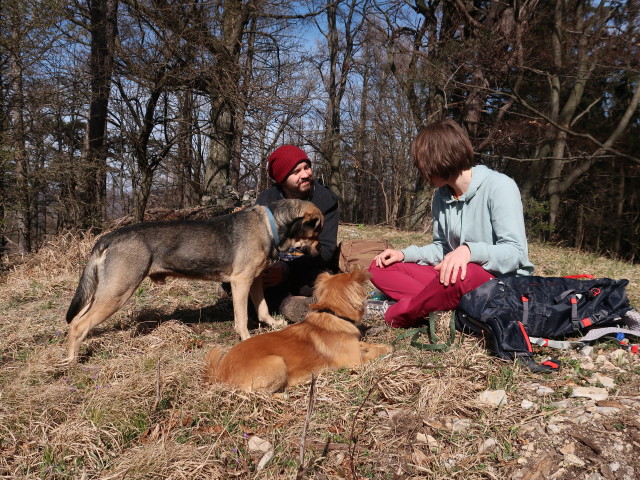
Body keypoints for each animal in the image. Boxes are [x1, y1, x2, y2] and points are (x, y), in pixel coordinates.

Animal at [62, 199, 322, 364]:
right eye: (315, 232)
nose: (320, 253)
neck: (271, 225)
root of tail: (108, 237)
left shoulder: (256, 280)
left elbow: (263, 308)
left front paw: (273, 324)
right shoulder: (241, 281)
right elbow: (241, 318)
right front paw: (246, 339)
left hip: (104, 291)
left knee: (77, 319)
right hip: (117, 292)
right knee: (78, 325)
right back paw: (71, 360)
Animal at [205, 268, 396, 392]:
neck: (332, 314)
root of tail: (220, 373)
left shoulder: (354, 345)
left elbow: (369, 345)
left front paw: (383, 345)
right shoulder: (355, 360)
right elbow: (372, 353)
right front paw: (388, 349)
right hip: (276, 362)